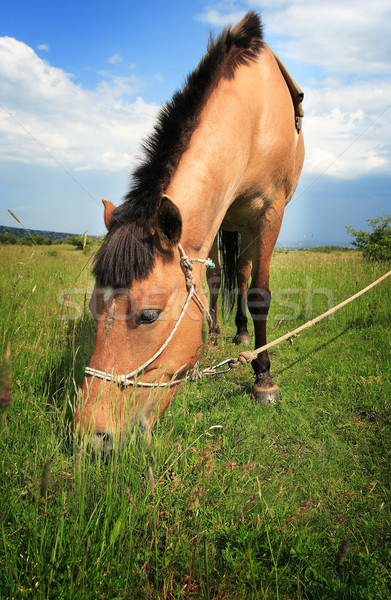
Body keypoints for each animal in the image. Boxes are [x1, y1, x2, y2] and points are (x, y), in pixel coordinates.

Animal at [74, 11, 306, 448]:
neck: (255, 113)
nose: (92, 437)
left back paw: (243, 338)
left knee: (244, 275)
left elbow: (260, 294)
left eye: (148, 316)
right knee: (225, 277)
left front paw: (264, 379)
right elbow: (212, 281)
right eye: (94, 306)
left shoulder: (270, 214)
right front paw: (214, 335)